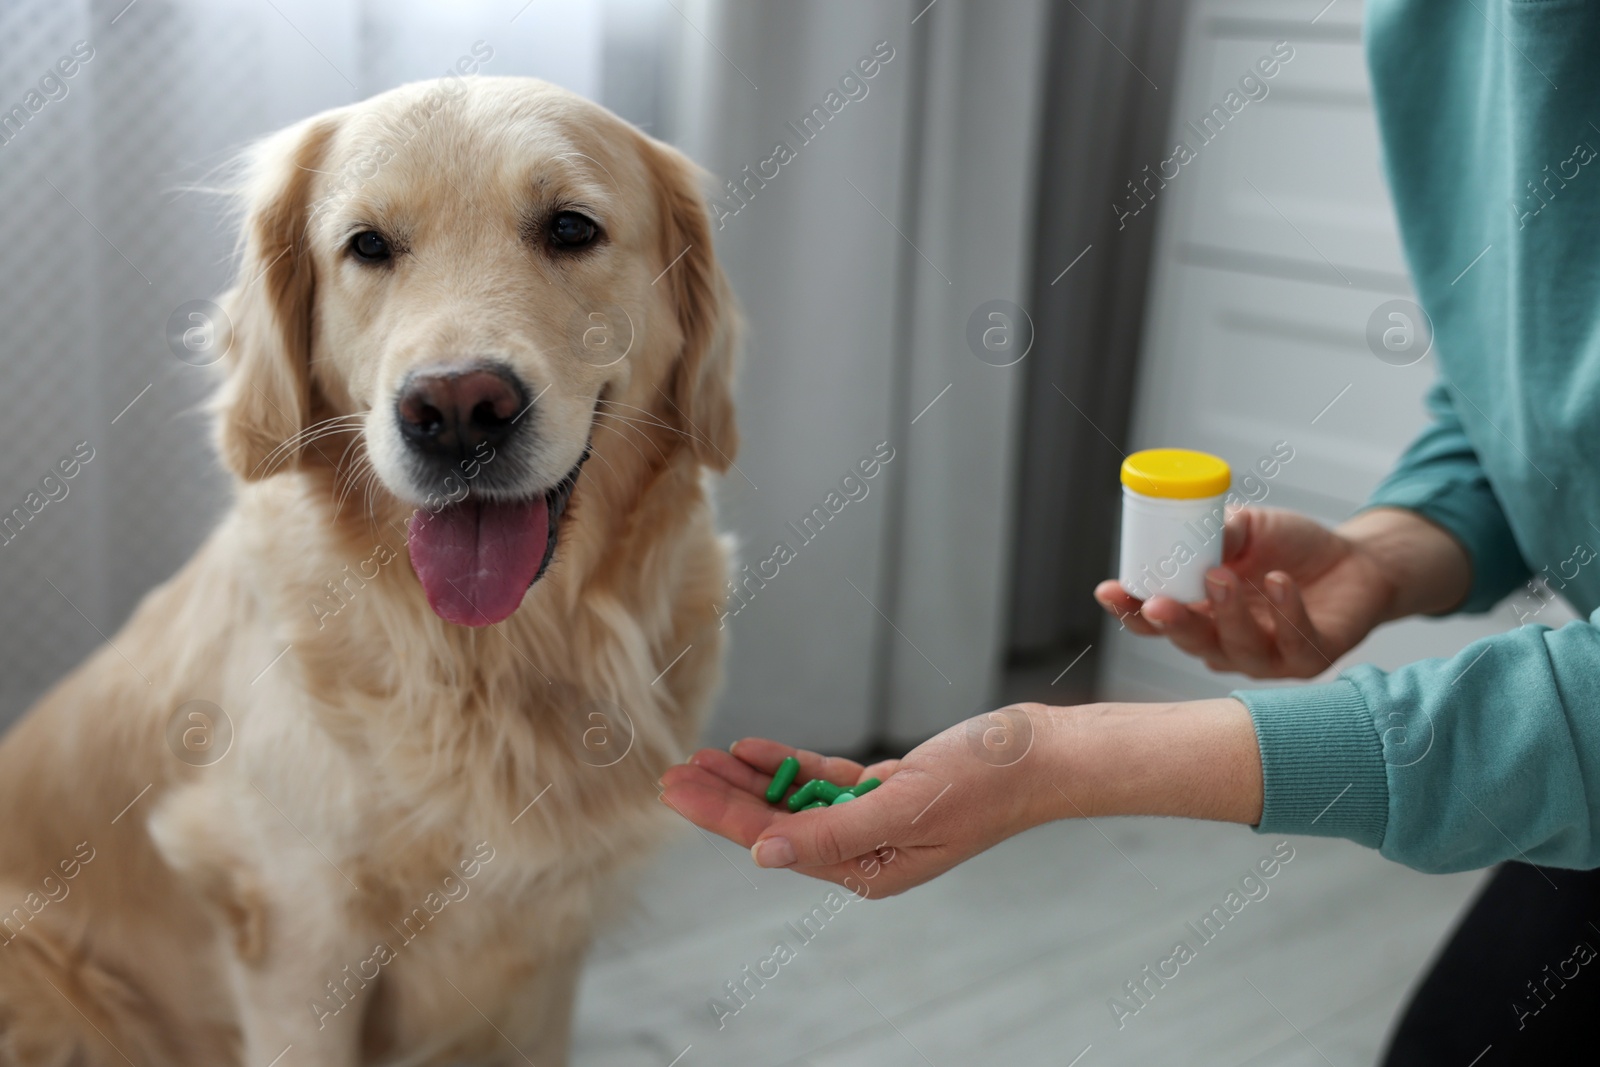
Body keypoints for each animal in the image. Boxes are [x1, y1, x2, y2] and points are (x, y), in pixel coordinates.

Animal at [0, 77, 736, 1067]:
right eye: (369, 245)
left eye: (572, 228)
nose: (458, 410)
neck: (486, 661)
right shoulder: (300, 941)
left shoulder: (546, 954)